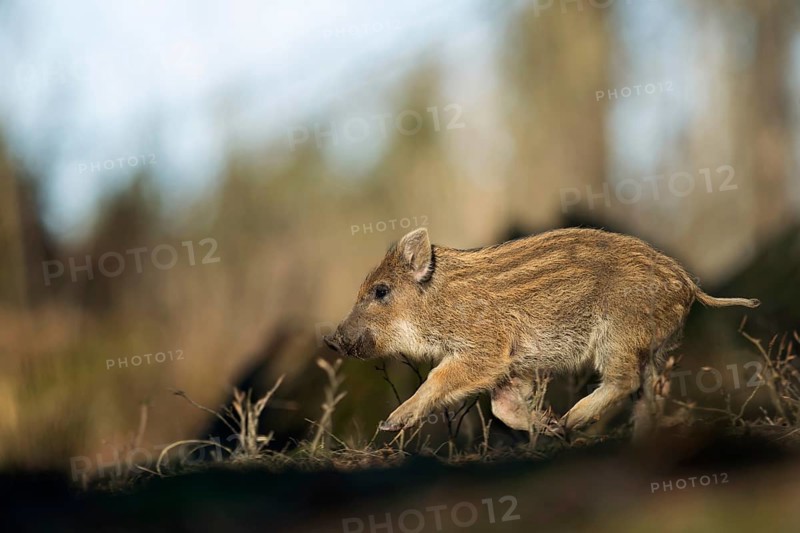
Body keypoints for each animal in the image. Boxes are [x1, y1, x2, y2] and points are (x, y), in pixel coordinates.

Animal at [324, 227, 760, 435]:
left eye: (381, 291)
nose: (332, 339)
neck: (441, 303)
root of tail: (689, 284)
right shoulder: (516, 364)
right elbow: (502, 407)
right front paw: (544, 426)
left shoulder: (487, 348)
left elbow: (438, 378)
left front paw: (389, 424)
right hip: (654, 347)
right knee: (649, 394)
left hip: (620, 334)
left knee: (625, 381)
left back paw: (572, 421)